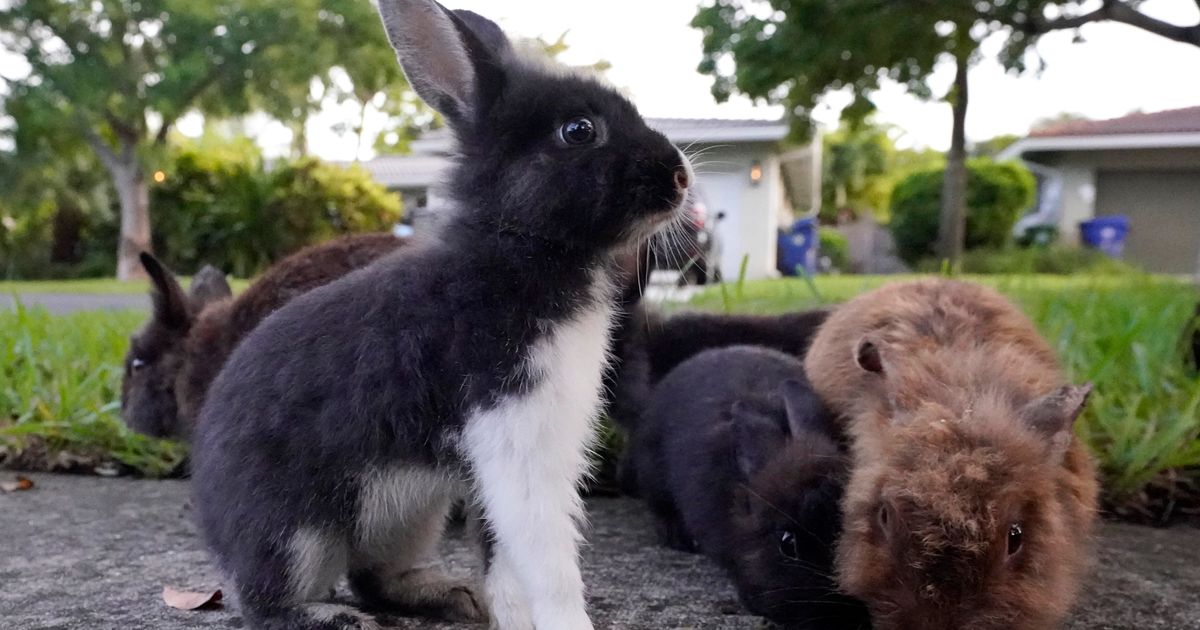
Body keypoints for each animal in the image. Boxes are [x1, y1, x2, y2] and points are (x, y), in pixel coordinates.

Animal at [188, 1, 696, 628]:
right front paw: (566, 622)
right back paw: (333, 618)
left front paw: (508, 616)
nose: (680, 177)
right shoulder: (514, 436)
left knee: (372, 578)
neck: (519, 246)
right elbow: (546, 557)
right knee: (265, 600)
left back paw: (454, 596)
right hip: (295, 533)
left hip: (411, 512)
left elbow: (505, 560)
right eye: (578, 130)